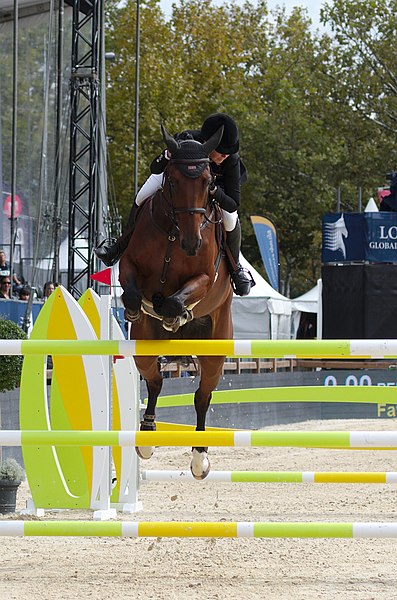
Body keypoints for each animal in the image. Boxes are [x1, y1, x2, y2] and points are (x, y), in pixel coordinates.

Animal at [119, 124, 234, 480]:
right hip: (144, 347)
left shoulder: (204, 279)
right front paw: (139, 306)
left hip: (215, 349)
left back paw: (199, 458)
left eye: (208, 182)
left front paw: (174, 313)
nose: (192, 243)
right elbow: (132, 290)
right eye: (172, 181)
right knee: (155, 381)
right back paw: (147, 437)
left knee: (202, 396)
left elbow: (176, 299)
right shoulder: (127, 264)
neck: (173, 231)